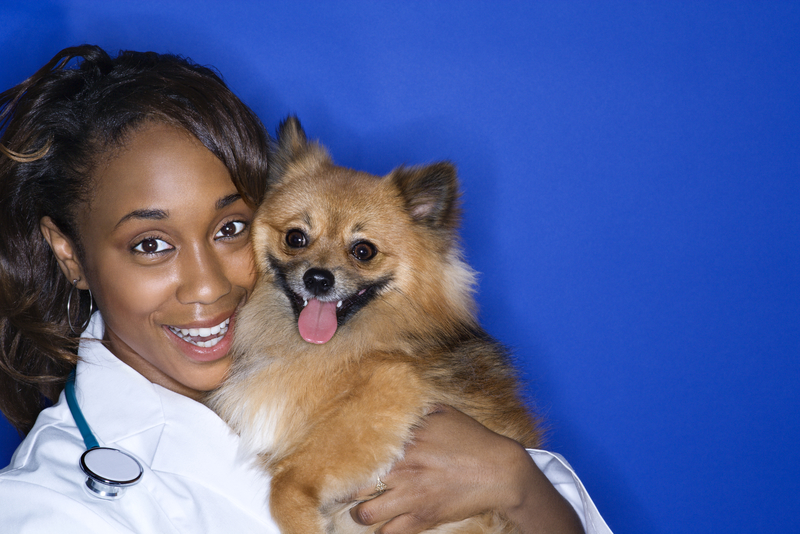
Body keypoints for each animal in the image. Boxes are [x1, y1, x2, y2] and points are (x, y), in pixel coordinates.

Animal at [208, 118, 544, 534]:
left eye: (363, 251)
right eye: (296, 238)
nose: (318, 278)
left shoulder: (391, 388)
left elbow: (287, 480)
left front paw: (304, 521)